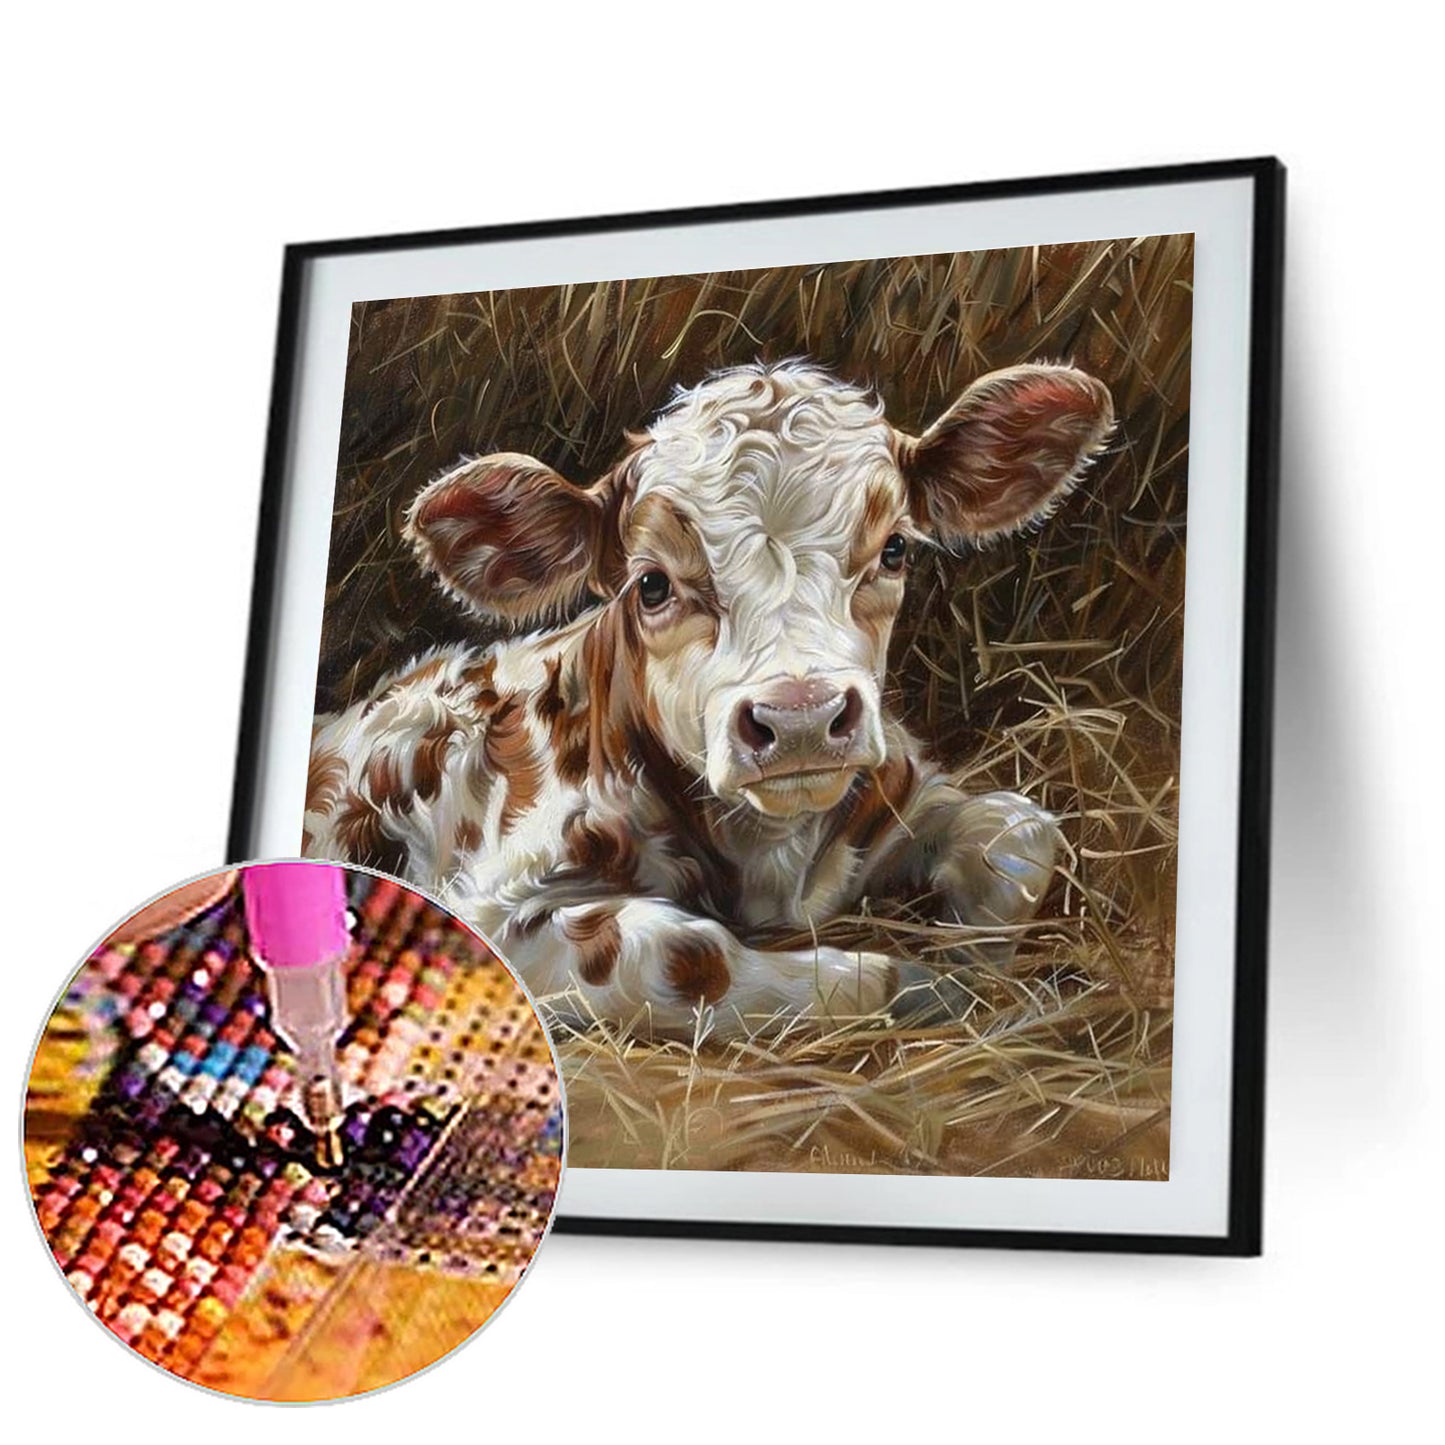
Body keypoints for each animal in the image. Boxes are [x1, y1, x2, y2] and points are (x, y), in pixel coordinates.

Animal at [305, 359, 1113, 1038]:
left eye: (894, 550)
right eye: (652, 583)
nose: (800, 718)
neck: (769, 860)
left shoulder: (897, 796)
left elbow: (1018, 832)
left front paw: (978, 960)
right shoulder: (497, 910)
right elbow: (691, 953)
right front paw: (923, 985)